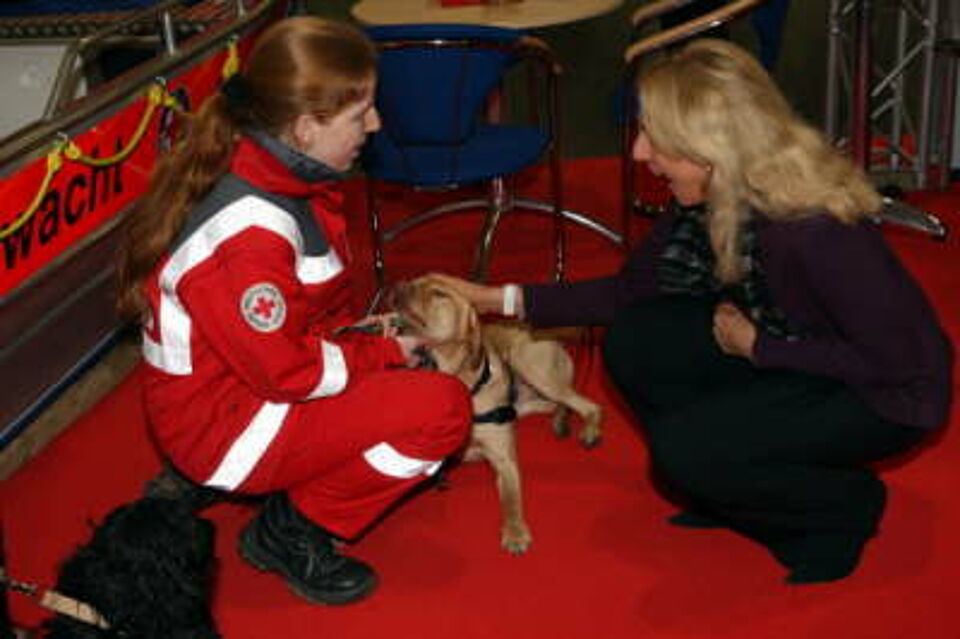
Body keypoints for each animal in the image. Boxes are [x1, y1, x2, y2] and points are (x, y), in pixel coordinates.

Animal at [391, 275, 603, 554]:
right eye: (414, 281)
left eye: (439, 293)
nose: (398, 286)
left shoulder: (505, 460)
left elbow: (511, 500)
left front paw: (515, 531)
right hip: (526, 399)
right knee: (558, 404)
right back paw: (560, 421)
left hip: (530, 364)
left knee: (587, 404)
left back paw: (589, 430)